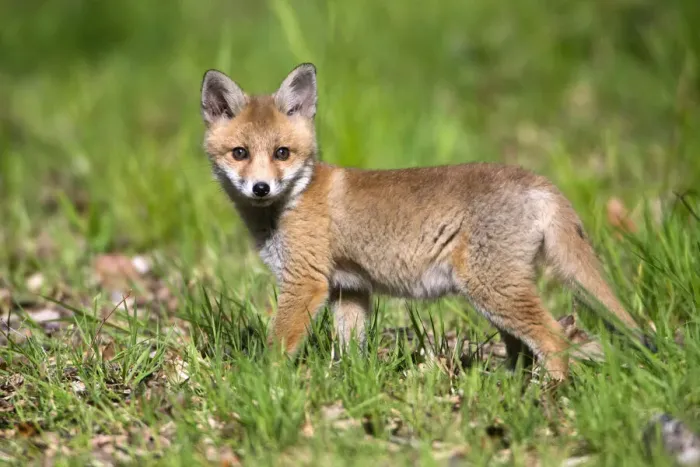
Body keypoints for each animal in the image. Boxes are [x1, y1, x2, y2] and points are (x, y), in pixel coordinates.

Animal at [199, 62, 651, 381]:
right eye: (240, 153)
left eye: (282, 153)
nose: (261, 188)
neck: (293, 202)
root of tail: (536, 180)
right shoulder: (350, 289)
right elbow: (351, 351)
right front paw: (350, 385)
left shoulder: (306, 283)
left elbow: (278, 346)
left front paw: (261, 382)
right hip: (495, 296)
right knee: (525, 348)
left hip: (492, 291)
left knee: (555, 340)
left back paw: (550, 396)